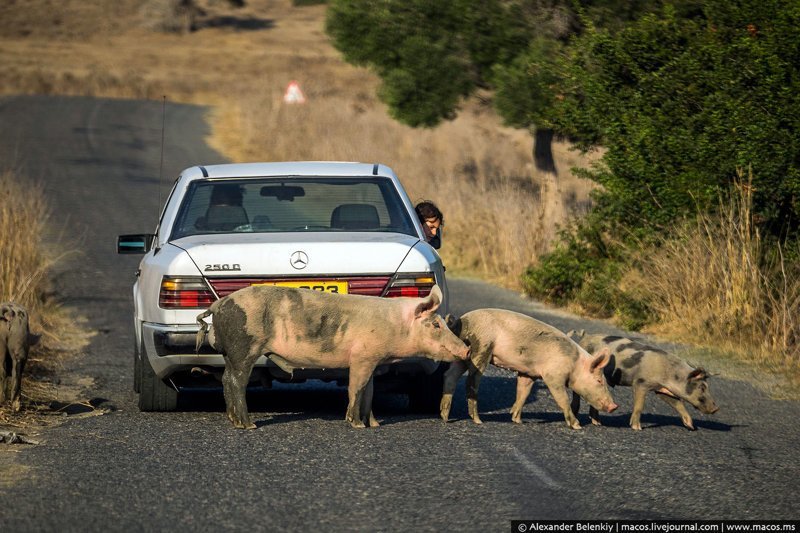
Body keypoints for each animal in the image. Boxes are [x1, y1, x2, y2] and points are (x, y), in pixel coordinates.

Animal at [195, 282, 468, 428]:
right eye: (436, 325)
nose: (466, 348)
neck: (394, 325)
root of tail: (218, 305)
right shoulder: (362, 356)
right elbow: (356, 388)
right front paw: (356, 425)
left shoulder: (372, 360)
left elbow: (369, 391)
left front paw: (375, 424)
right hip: (246, 346)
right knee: (237, 381)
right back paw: (249, 425)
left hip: (231, 353)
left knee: (226, 379)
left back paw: (234, 420)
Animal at [438, 308, 620, 428]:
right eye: (599, 380)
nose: (614, 406)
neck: (574, 363)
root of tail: (461, 321)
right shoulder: (553, 376)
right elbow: (562, 399)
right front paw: (577, 426)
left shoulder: (529, 373)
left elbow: (523, 393)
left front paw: (517, 420)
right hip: (482, 345)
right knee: (471, 381)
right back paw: (478, 420)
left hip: (462, 354)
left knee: (450, 376)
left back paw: (445, 417)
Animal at [564, 330, 720, 430]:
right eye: (701, 387)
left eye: (707, 386)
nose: (716, 408)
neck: (670, 374)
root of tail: (585, 337)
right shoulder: (641, 383)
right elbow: (639, 405)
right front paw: (637, 428)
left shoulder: (662, 390)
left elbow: (678, 404)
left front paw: (691, 426)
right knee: (577, 393)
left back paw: (598, 423)